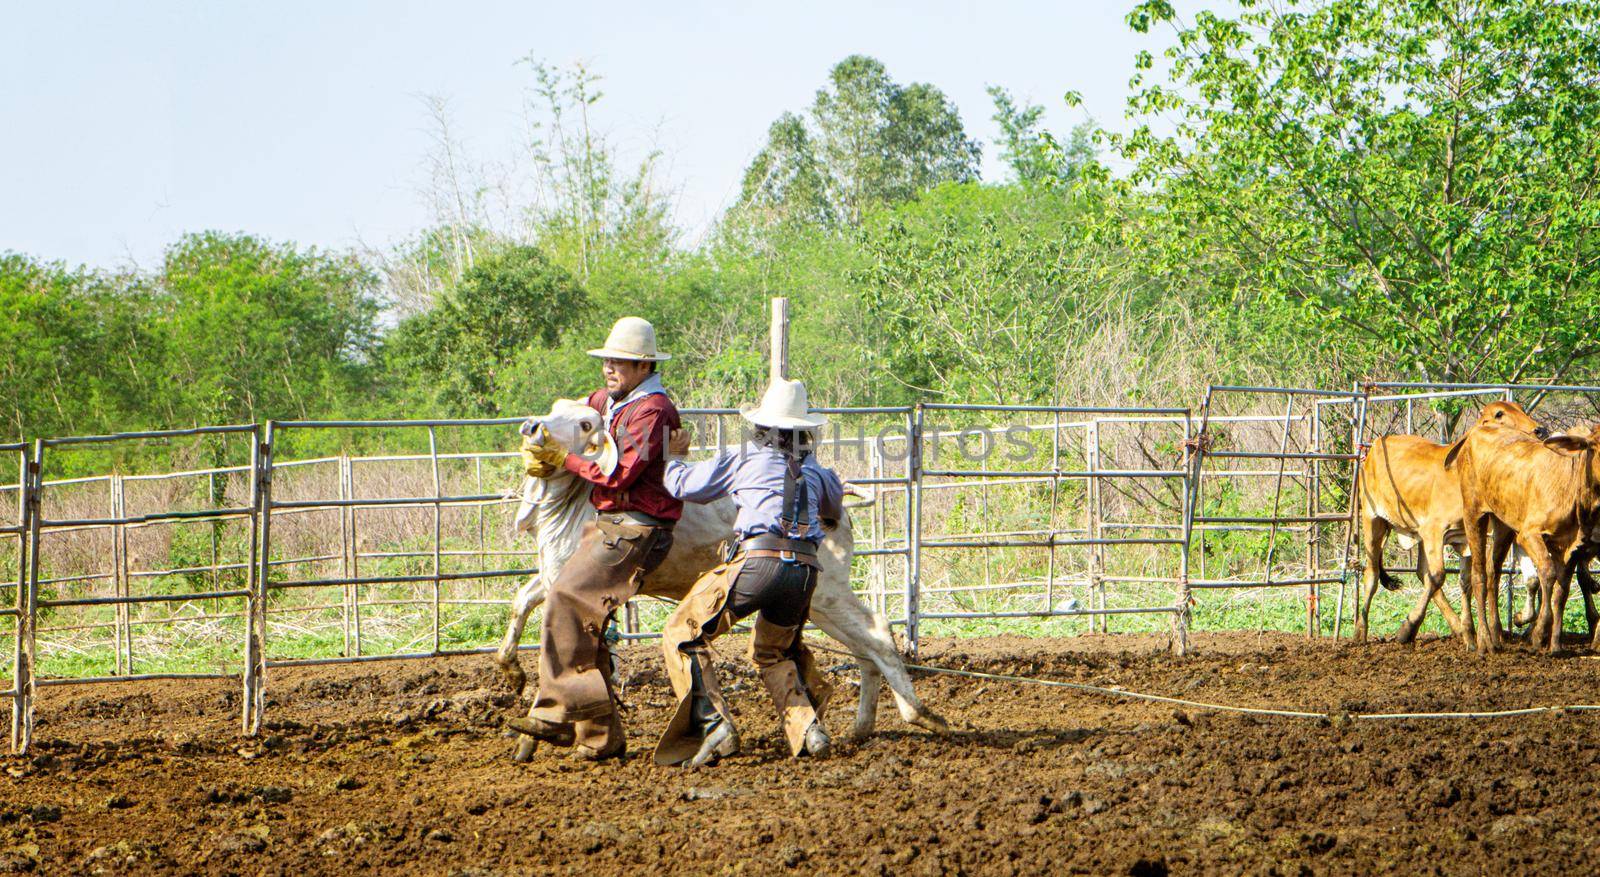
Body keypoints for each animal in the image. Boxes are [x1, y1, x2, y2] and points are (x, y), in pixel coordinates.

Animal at [492, 398, 940, 761]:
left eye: (586, 424)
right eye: (556, 408)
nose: (533, 427)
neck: (575, 504)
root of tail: (839, 496)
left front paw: (536, 729)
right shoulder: (551, 573)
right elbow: (520, 602)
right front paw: (513, 675)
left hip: (828, 594)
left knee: (877, 633)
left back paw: (920, 715)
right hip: (817, 603)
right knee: (864, 646)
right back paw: (862, 727)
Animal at [1356, 403, 1542, 643]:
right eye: (1499, 414)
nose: (1538, 430)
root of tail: (1375, 446)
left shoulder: (1464, 538)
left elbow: (1466, 581)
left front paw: (1471, 632)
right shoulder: (1434, 530)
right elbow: (1438, 576)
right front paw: (1407, 629)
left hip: (1417, 535)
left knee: (1421, 572)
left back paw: (1457, 627)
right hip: (1374, 520)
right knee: (1372, 574)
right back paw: (1360, 632)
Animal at [1452, 422, 1600, 652]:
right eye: (1596, 446)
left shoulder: (1572, 546)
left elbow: (1562, 590)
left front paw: (1555, 644)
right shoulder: (1529, 534)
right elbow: (1547, 573)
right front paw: (1539, 634)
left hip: (1503, 524)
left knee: (1493, 570)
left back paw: (1496, 634)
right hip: (1473, 512)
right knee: (1478, 574)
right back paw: (1484, 641)